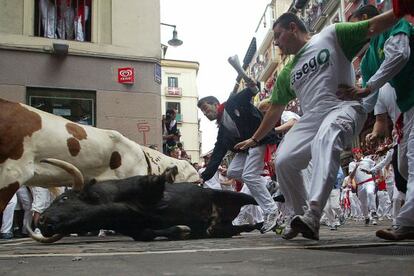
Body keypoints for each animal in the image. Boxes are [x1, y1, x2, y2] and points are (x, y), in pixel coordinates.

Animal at [28, 158, 262, 243]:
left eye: (63, 199)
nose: (42, 221)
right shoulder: (136, 229)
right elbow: (149, 233)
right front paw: (182, 230)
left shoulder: (145, 188)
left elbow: (153, 181)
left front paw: (169, 171)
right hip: (226, 227)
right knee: (239, 227)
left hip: (232, 195)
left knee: (253, 200)